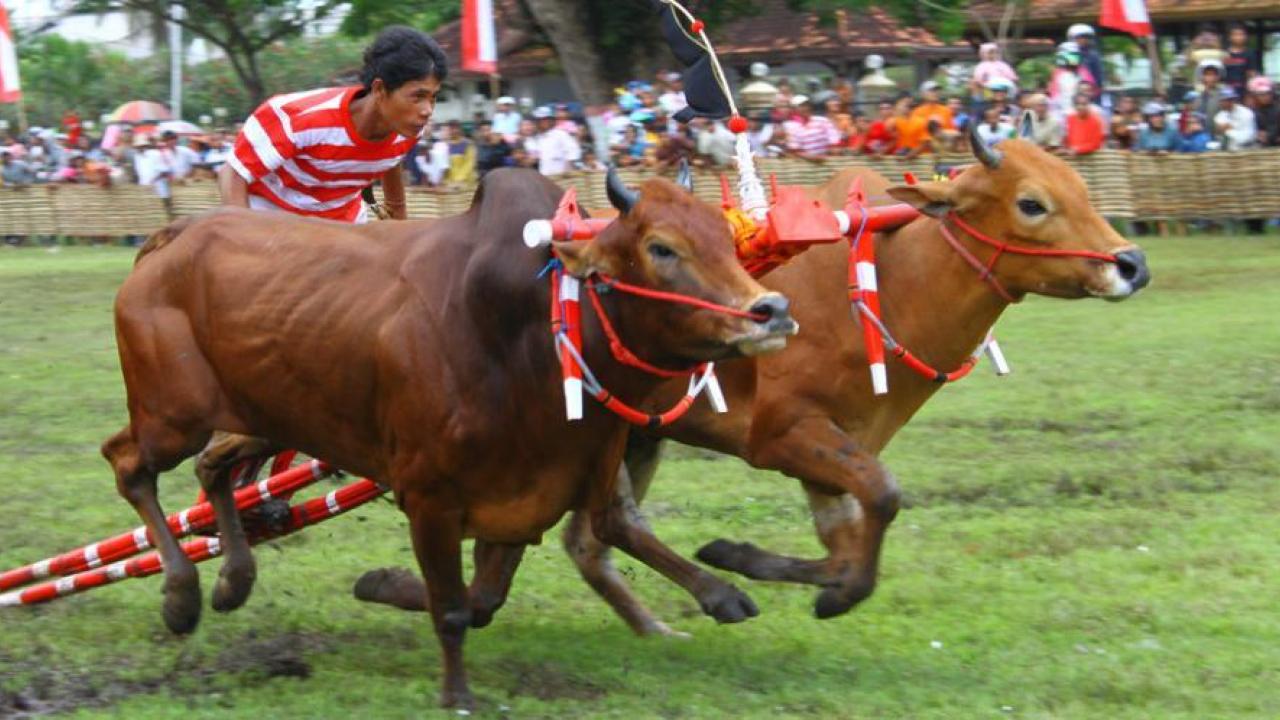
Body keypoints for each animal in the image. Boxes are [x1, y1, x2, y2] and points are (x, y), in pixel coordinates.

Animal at [104, 165, 793, 702]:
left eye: (724, 237)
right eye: (662, 247)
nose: (772, 311)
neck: (529, 332)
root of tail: (175, 235)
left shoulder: (548, 487)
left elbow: (558, 558)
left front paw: (720, 592)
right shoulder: (430, 500)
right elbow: (457, 607)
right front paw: (457, 694)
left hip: (267, 421)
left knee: (214, 467)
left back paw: (232, 582)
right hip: (173, 417)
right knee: (128, 464)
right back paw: (182, 596)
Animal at [366, 131, 1157, 630]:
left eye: (1080, 187)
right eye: (1031, 202)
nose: (1132, 263)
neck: (881, 282)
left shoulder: (831, 449)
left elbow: (847, 538)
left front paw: (760, 564)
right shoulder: (783, 435)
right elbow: (883, 499)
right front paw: (820, 592)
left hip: (632, 437)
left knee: (577, 546)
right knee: (577, 539)